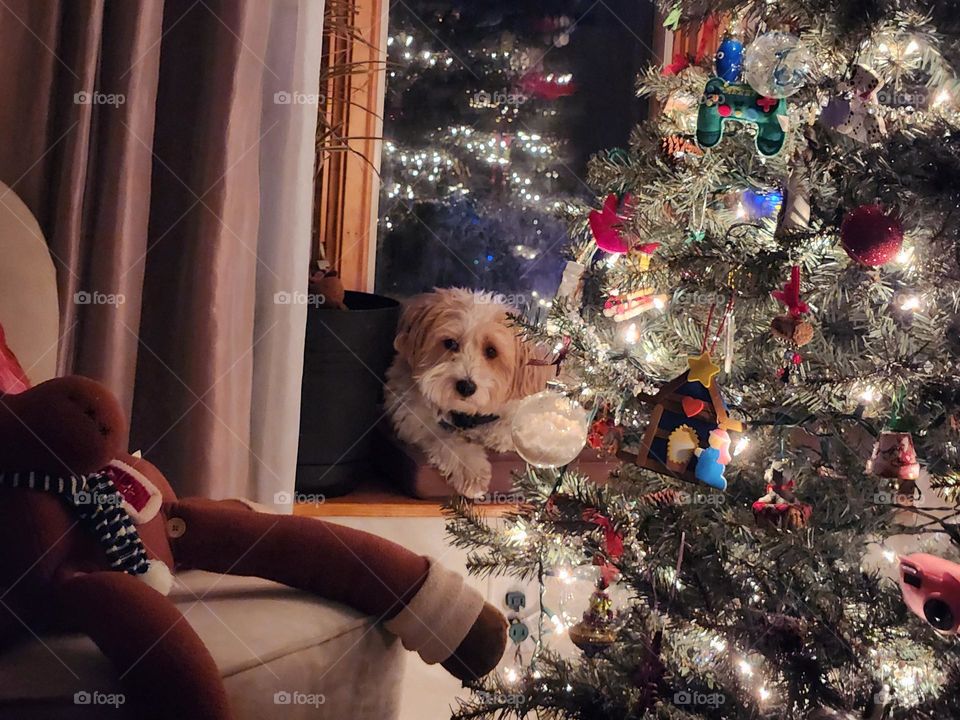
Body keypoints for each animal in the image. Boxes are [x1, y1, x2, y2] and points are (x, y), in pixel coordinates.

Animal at [382, 290, 548, 498]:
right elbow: (447, 439)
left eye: (491, 351)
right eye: (450, 343)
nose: (466, 386)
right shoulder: (412, 417)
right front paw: (471, 469)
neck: (464, 416)